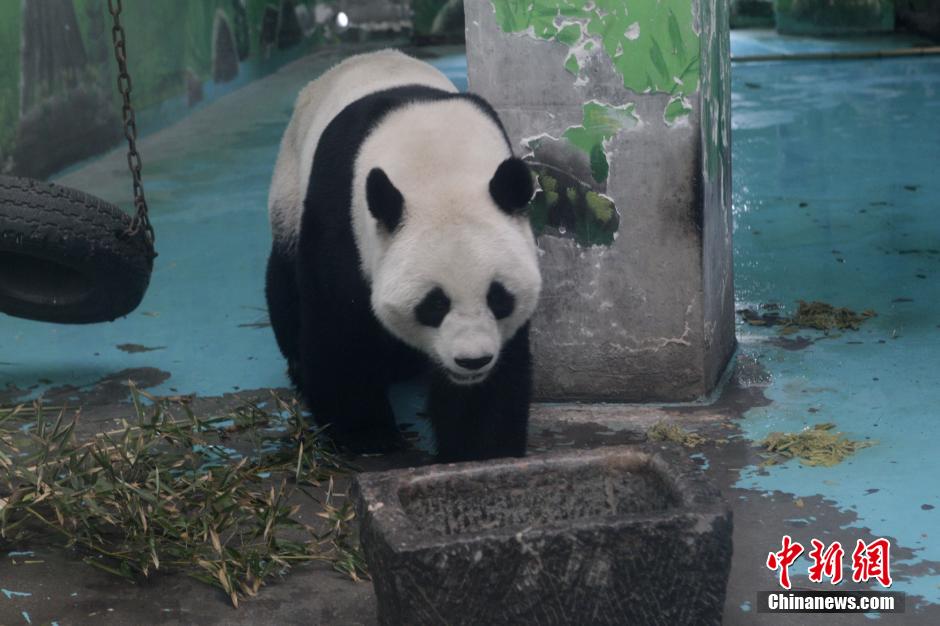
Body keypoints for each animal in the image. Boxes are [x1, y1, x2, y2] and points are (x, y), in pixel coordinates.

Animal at [264, 48, 544, 460]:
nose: (472, 360)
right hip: (289, 190)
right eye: (434, 303)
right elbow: (340, 329)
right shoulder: (342, 218)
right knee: (284, 282)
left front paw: (479, 451)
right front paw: (368, 436)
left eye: (499, 298)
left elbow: (494, 382)